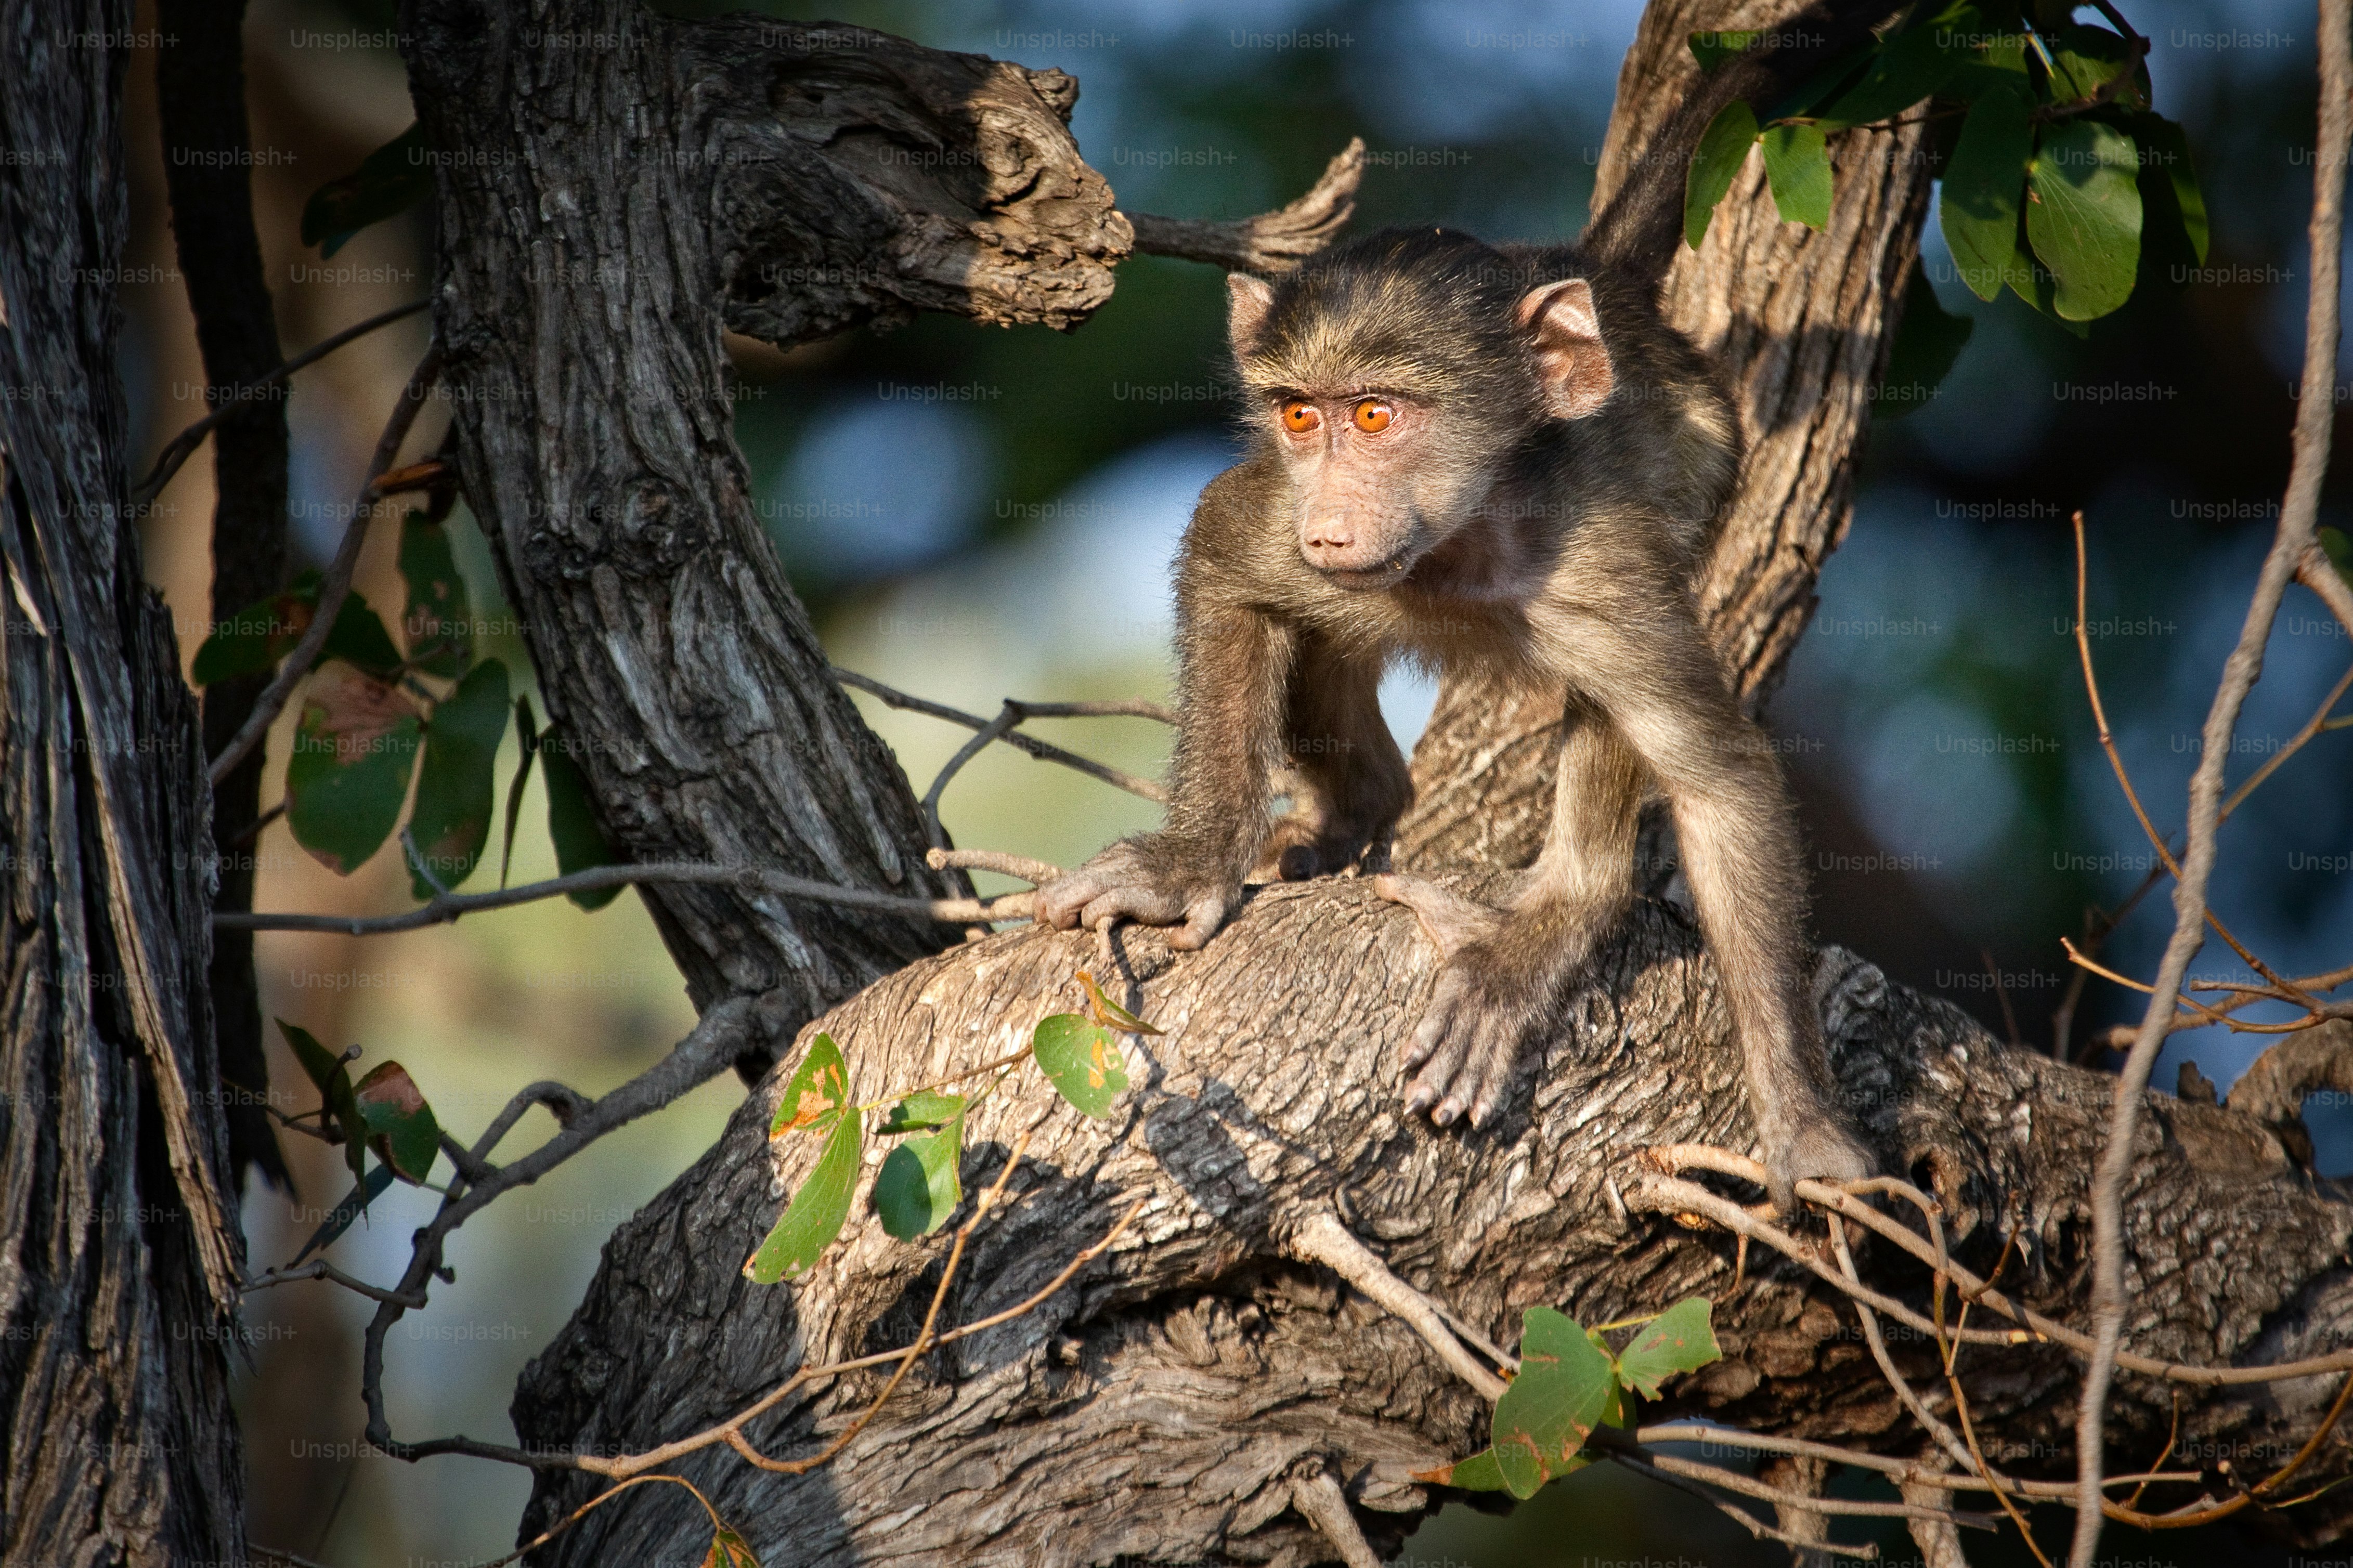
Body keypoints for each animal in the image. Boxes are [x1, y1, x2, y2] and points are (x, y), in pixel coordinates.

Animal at [1036, 10, 1898, 1205]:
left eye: (1377, 415)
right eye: (1300, 416)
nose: (1331, 525)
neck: (1458, 544)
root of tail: (1587, 278)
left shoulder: (1602, 574)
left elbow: (1718, 777)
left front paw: (1806, 1127)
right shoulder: (1277, 521)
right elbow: (1222, 560)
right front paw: (1192, 865)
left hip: (1699, 457)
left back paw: (1559, 910)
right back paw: (1355, 810)